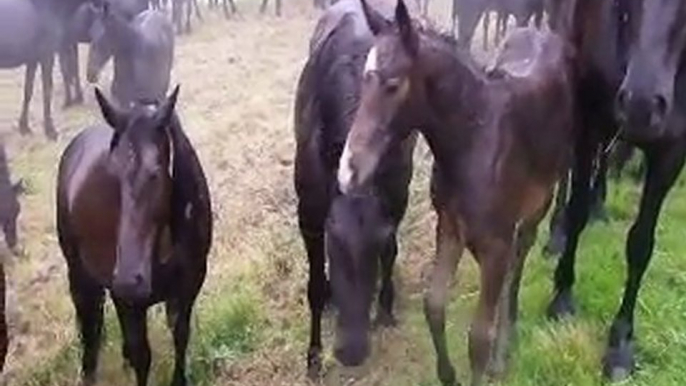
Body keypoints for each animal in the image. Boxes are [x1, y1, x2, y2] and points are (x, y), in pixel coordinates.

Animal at [294, 0, 416, 376]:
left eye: (376, 241)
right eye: (333, 240)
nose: (351, 351)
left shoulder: (397, 195)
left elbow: (391, 251)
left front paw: (385, 309)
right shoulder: (309, 211)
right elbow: (314, 285)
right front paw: (313, 356)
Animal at [342, 1, 576, 384]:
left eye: (393, 85)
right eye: (365, 78)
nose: (349, 172)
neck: (473, 139)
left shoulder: (496, 242)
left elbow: (478, 336)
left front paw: (487, 357)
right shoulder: (450, 228)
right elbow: (434, 305)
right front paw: (448, 374)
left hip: (538, 203)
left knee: (517, 265)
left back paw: (503, 349)